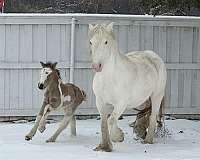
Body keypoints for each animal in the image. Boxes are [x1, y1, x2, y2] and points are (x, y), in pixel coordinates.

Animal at [88, 23, 166, 152]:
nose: (96, 66)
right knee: (144, 113)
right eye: (91, 41)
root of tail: (154, 56)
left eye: (106, 42)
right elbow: (104, 123)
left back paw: (148, 140)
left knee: (153, 115)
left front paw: (118, 137)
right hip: (143, 98)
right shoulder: (100, 101)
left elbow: (111, 120)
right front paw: (103, 146)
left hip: (157, 95)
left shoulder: (121, 103)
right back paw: (140, 131)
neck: (109, 78)